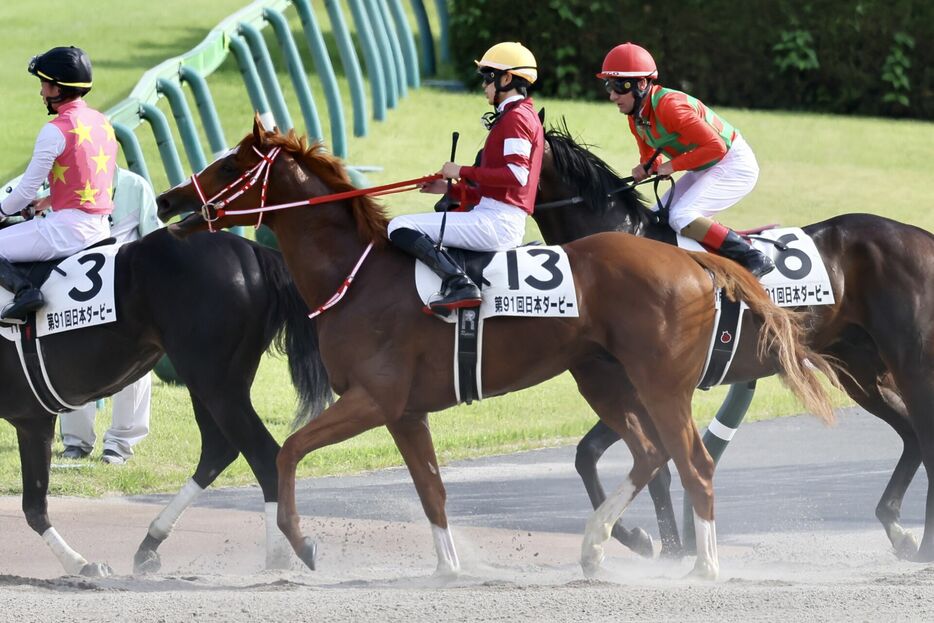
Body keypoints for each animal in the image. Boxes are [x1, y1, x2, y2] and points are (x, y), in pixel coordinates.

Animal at [0, 229, 332, 576]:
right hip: (212, 383)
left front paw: (80, 564)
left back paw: (279, 556)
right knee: (218, 451)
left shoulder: (31, 421)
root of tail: (250, 250)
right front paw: (82, 564)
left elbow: (33, 505)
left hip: (215, 383)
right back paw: (150, 543)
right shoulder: (32, 420)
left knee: (264, 457)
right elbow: (34, 505)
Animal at [155, 120, 840, 580]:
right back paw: (598, 545)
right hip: (602, 376)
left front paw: (300, 543)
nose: (167, 200)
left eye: (229, 164)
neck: (357, 272)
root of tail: (694, 263)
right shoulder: (405, 411)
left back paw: (700, 565)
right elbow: (431, 490)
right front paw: (449, 569)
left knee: (692, 463)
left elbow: (289, 452)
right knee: (649, 453)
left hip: (662, 384)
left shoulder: (373, 399)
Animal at [536, 124, 934, 564]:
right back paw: (898, 529)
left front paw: (656, 543)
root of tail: (922, 236)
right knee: (912, 436)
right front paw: (659, 544)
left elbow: (635, 460)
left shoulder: (652, 386)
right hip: (862, 374)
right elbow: (599, 456)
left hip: (911, 364)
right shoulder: (632, 386)